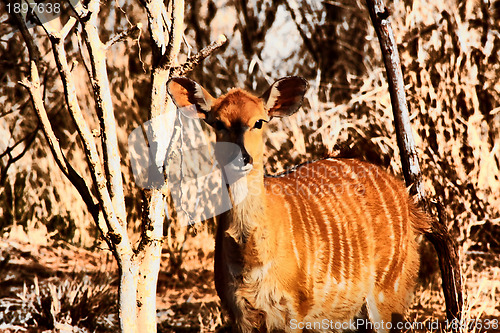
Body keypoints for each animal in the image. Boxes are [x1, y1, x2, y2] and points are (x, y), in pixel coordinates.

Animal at [167, 76, 430, 330]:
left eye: (259, 122)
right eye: (218, 123)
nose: (241, 158)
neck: (251, 262)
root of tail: (407, 200)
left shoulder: (294, 310)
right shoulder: (240, 313)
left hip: (388, 292)